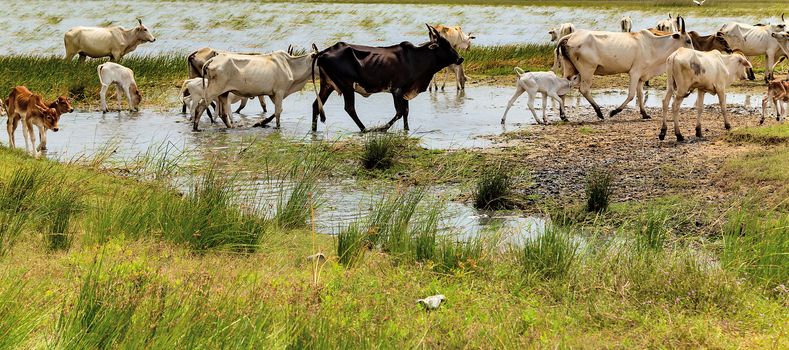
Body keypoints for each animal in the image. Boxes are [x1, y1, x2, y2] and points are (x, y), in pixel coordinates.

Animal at [310, 23, 464, 133]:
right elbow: (400, 112)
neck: (415, 59)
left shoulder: (405, 91)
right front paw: (382, 128)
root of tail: (322, 53)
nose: (460, 58)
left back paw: (313, 130)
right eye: (445, 46)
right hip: (346, 85)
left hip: (327, 85)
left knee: (316, 105)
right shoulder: (397, 90)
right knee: (350, 108)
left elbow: (406, 112)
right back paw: (364, 129)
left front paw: (407, 130)